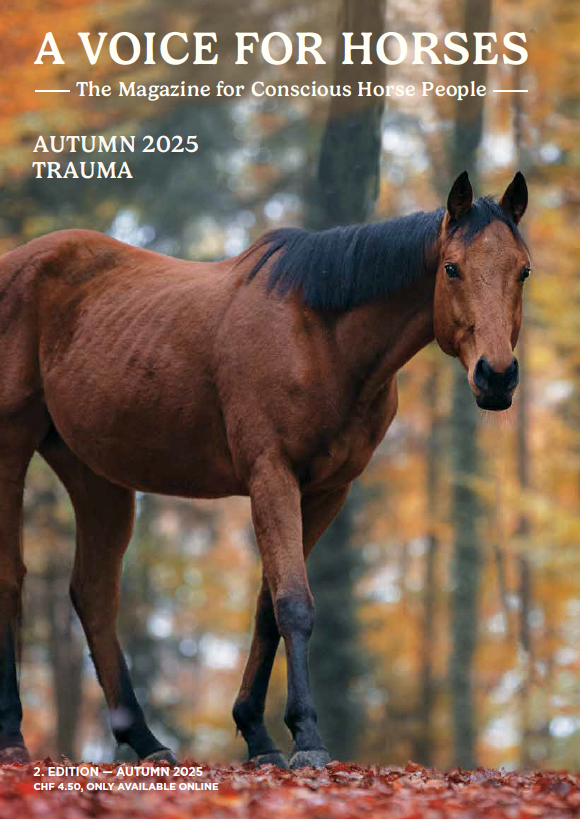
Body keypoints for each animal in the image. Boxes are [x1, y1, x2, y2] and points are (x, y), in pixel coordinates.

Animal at [0, 171, 529, 768]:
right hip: (11, 445)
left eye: (523, 270)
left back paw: (147, 741)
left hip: (97, 475)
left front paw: (257, 734)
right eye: (452, 268)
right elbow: (294, 603)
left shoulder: (325, 491)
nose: (496, 377)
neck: (321, 336)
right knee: (11, 578)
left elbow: (267, 607)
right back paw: (13, 734)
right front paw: (307, 738)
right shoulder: (271, 475)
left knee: (93, 592)